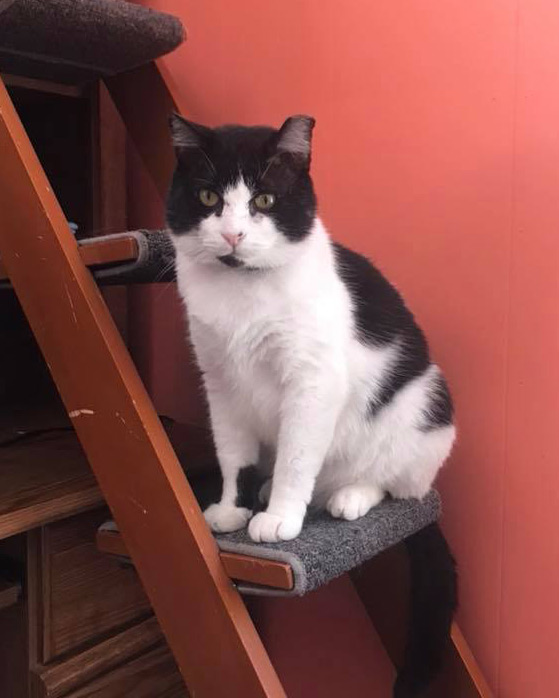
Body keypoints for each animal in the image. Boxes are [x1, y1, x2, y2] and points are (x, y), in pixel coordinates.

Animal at [166, 113, 456, 544]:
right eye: (207, 198)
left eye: (264, 200)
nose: (232, 234)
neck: (241, 287)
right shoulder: (219, 382)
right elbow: (233, 454)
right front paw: (232, 508)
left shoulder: (313, 381)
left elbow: (296, 459)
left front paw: (280, 517)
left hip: (427, 404)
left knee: (391, 482)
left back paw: (349, 495)